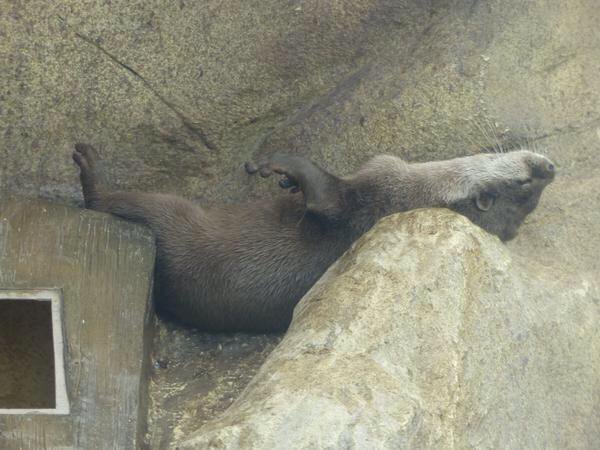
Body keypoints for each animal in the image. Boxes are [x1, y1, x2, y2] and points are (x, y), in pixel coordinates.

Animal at [72, 144, 556, 330]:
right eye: (531, 189)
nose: (550, 168)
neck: (416, 193)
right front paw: (287, 184)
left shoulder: (371, 185)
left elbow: (324, 193)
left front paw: (277, 167)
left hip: (172, 218)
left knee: (113, 202)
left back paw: (91, 173)